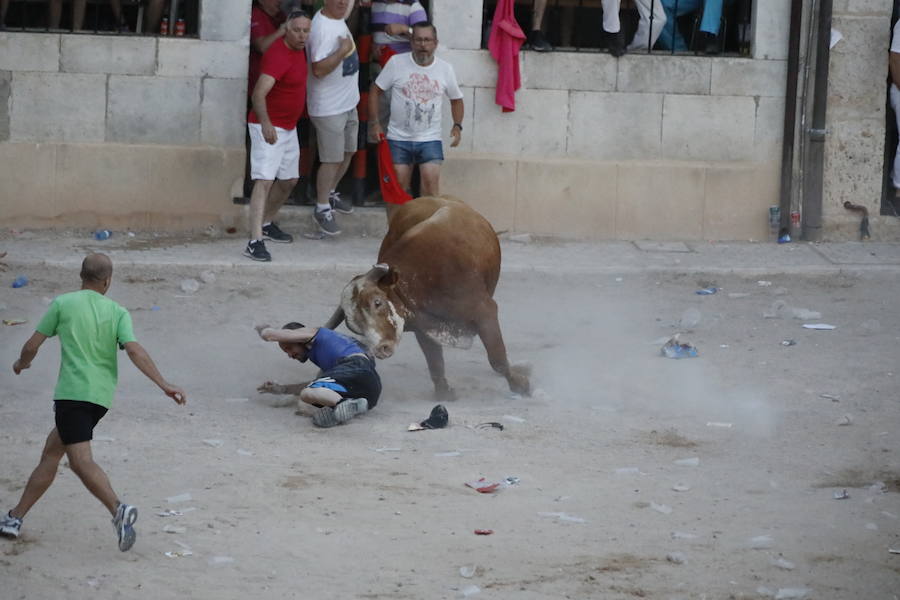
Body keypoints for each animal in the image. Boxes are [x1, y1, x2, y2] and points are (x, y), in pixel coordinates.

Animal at [326, 197, 532, 398]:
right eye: (354, 326)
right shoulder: (423, 325)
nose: (381, 348)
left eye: (378, 302)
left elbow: (497, 358)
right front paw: (443, 390)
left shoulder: (485, 311)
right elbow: (435, 362)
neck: (421, 279)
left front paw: (519, 384)